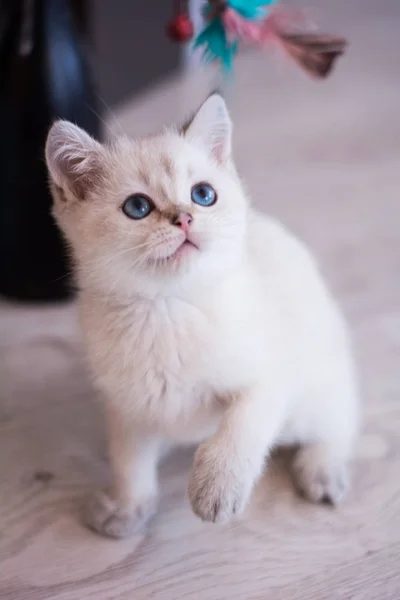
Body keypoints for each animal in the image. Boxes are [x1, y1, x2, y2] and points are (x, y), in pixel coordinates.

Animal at [45, 94, 358, 540]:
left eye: (203, 194)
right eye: (137, 207)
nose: (184, 218)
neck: (167, 307)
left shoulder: (269, 376)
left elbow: (241, 426)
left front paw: (217, 488)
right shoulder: (128, 407)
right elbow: (128, 461)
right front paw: (127, 507)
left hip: (310, 393)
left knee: (340, 417)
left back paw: (323, 469)